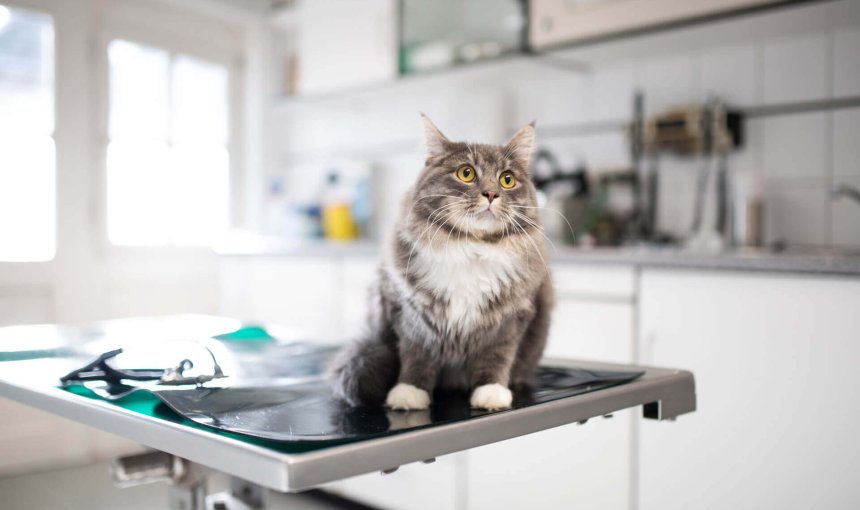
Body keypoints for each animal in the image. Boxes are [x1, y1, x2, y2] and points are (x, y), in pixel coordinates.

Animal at [326, 114, 556, 410]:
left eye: (507, 180)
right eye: (466, 173)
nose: (491, 194)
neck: (470, 247)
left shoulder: (512, 318)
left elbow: (497, 356)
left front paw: (491, 392)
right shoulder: (411, 314)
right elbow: (417, 356)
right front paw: (409, 393)